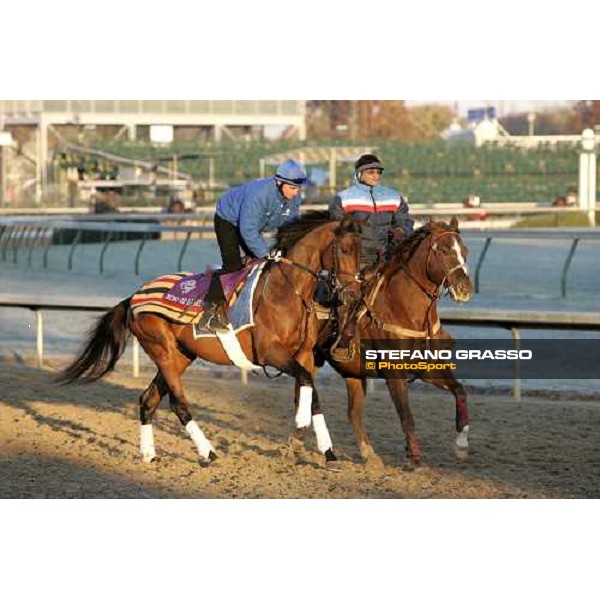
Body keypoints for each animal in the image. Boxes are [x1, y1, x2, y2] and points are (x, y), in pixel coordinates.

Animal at [58, 213, 364, 466]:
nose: (352, 294)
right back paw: (208, 452)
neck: (287, 290)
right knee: (179, 404)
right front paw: (300, 425)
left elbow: (312, 393)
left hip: (180, 356)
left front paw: (327, 451)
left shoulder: (304, 355)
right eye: (345, 250)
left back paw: (149, 455)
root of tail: (134, 297)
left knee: (148, 399)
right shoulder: (271, 353)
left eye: (363, 252)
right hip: (162, 351)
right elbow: (305, 382)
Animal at [314, 217, 474, 468]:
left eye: (464, 251)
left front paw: (461, 444)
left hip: (353, 372)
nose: (464, 289)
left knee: (353, 413)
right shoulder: (394, 373)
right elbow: (406, 416)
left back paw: (369, 455)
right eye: (445, 250)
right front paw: (414, 455)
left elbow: (460, 391)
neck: (403, 308)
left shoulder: (427, 368)